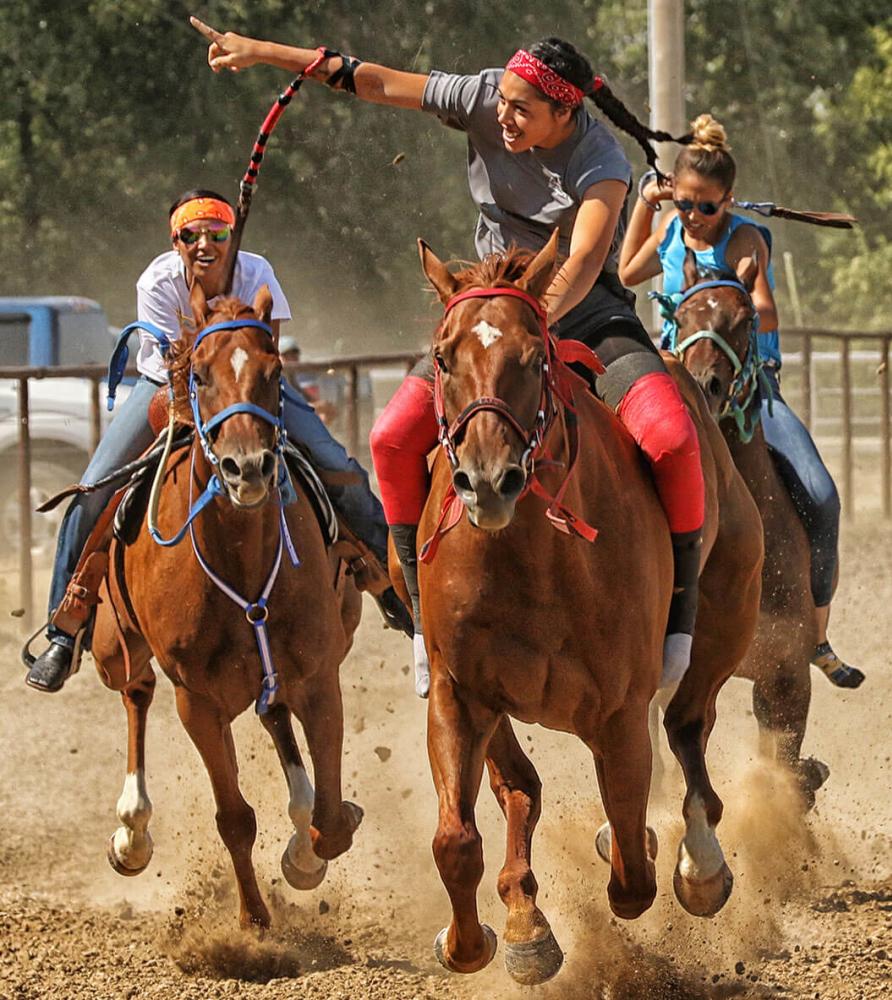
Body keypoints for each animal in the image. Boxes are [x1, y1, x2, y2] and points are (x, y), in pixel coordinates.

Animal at [87, 286, 358, 924]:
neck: (240, 564)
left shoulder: (319, 677)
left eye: (275, 372)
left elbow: (331, 820)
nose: (247, 467)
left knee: (277, 723)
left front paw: (303, 858)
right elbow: (234, 819)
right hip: (114, 648)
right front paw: (253, 922)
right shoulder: (198, 702)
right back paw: (131, 835)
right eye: (201, 375)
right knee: (136, 692)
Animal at [408, 232, 764, 984]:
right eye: (444, 357)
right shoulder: (458, 694)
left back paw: (701, 863)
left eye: (532, 356)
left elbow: (631, 873)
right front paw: (480, 938)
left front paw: (658, 857)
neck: (531, 556)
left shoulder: (619, 713)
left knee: (688, 732)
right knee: (520, 789)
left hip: (727, 620)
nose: (487, 479)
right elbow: (457, 838)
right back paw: (526, 917)